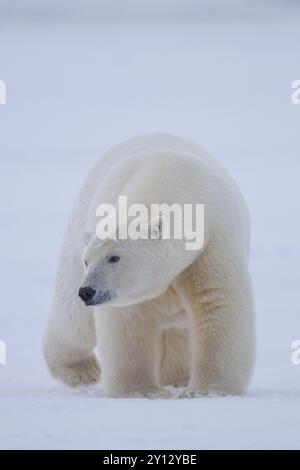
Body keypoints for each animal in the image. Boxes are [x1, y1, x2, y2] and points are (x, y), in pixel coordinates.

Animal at [44, 134, 255, 398]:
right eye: (88, 260)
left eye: (114, 257)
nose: (87, 291)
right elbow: (126, 322)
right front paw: (143, 391)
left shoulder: (213, 241)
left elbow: (218, 302)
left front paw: (205, 390)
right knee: (74, 320)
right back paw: (82, 370)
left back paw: (177, 378)